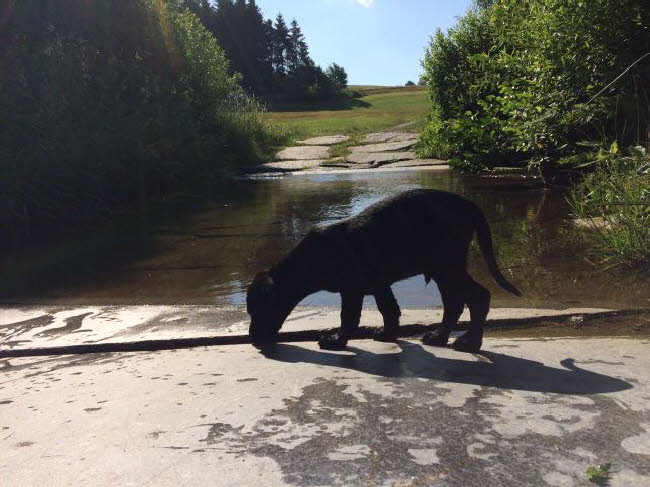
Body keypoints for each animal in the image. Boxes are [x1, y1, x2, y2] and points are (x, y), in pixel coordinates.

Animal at [246, 189, 520, 352]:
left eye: (257, 309)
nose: (253, 338)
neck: (308, 260)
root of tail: (469, 205)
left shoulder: (352, 289)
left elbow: (349, 317)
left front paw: (335, 341)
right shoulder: (379, 285)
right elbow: (389, 310)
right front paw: (388, 335)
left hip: (447, 266)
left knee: (478, 297)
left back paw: (470, 342)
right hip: (442, 270)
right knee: (454, 304)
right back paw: (439, 338)